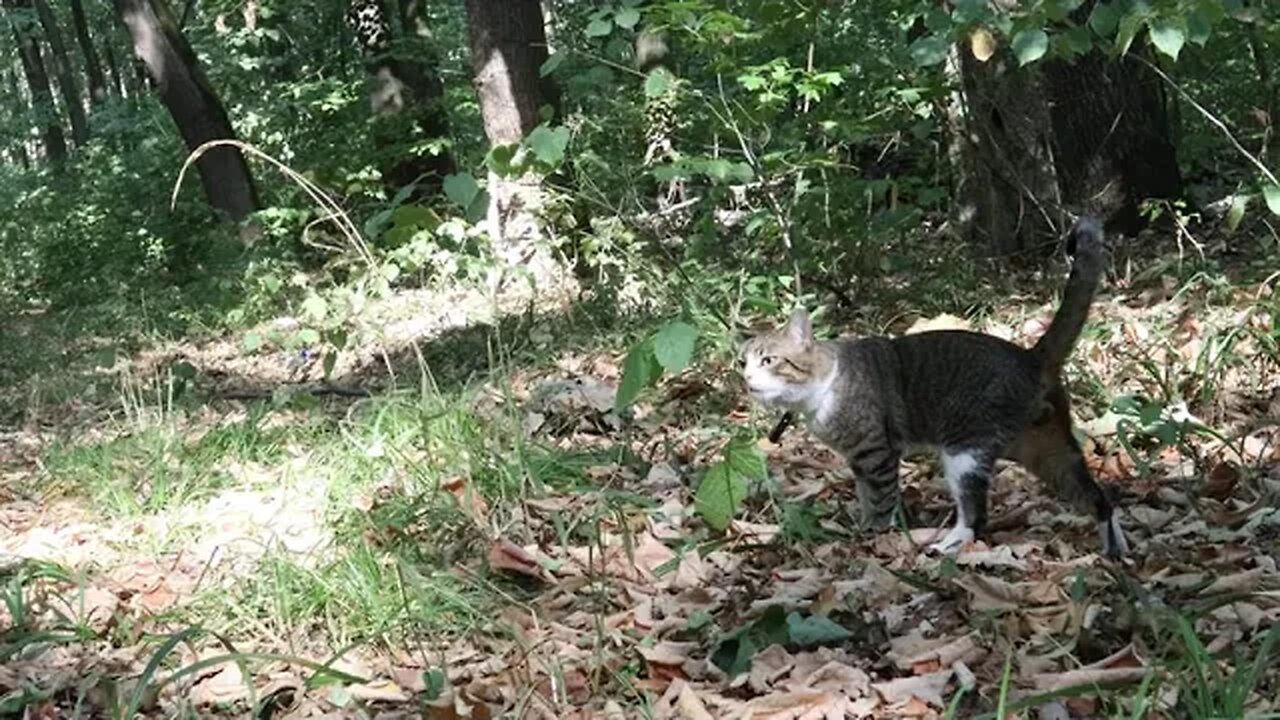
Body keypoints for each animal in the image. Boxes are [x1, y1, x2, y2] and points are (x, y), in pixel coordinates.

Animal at [742, 217, 1131, 556]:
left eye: (768, 361)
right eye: (742, 362)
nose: (745, 378)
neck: (820, 391)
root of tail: (1029, 357)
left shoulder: (876, 452)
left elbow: (881, 499)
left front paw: (875, 535)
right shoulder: (858, 460)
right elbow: (867, 497)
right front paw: (865, 525)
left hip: (965, 447)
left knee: (977, 515)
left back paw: (948, 544)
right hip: (1044, 445)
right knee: (1095, 495)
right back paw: (1114, 547)